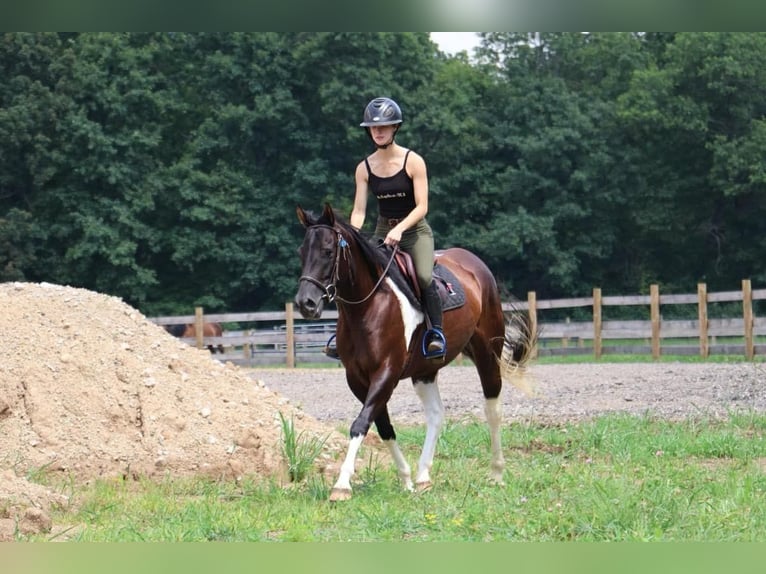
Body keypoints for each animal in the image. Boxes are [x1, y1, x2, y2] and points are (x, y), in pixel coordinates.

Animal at [295, 203, 537, 501]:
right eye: (302, 252)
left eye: (328, 251)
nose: (305, 303)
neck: (369, 308)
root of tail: (474, 263)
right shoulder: (357, 378)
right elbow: (383, 426)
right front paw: (406, 479)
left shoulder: (386, 373)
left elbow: (361, 423)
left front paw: (341, 485)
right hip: (425, 370)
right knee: (435, 415)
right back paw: (423, 477)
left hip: (487, 355)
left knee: (493, 408)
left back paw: (496, 473)